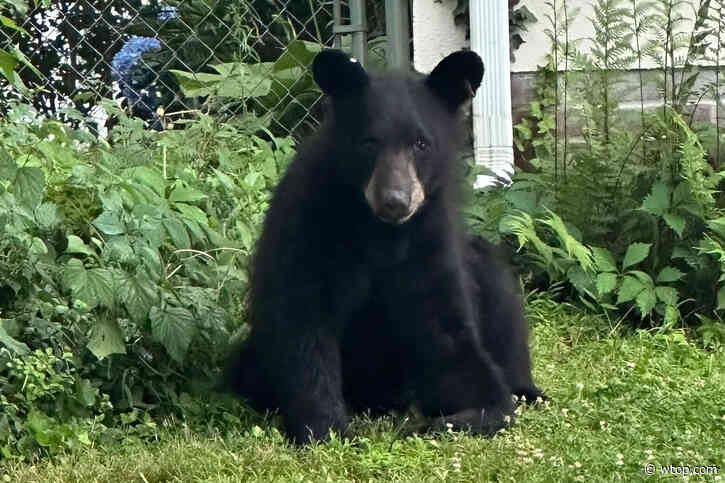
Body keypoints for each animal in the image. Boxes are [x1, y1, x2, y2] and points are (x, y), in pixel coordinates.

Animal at [226, 49, 543, 444]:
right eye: (369, 143)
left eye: (421, 144)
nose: (395, 201)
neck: (382, 233)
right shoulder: (310, 228)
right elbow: (304, 323)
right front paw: (326, 428)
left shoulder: (430, 240)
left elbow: (448, 330)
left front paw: (477, 411)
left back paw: (526, 389)